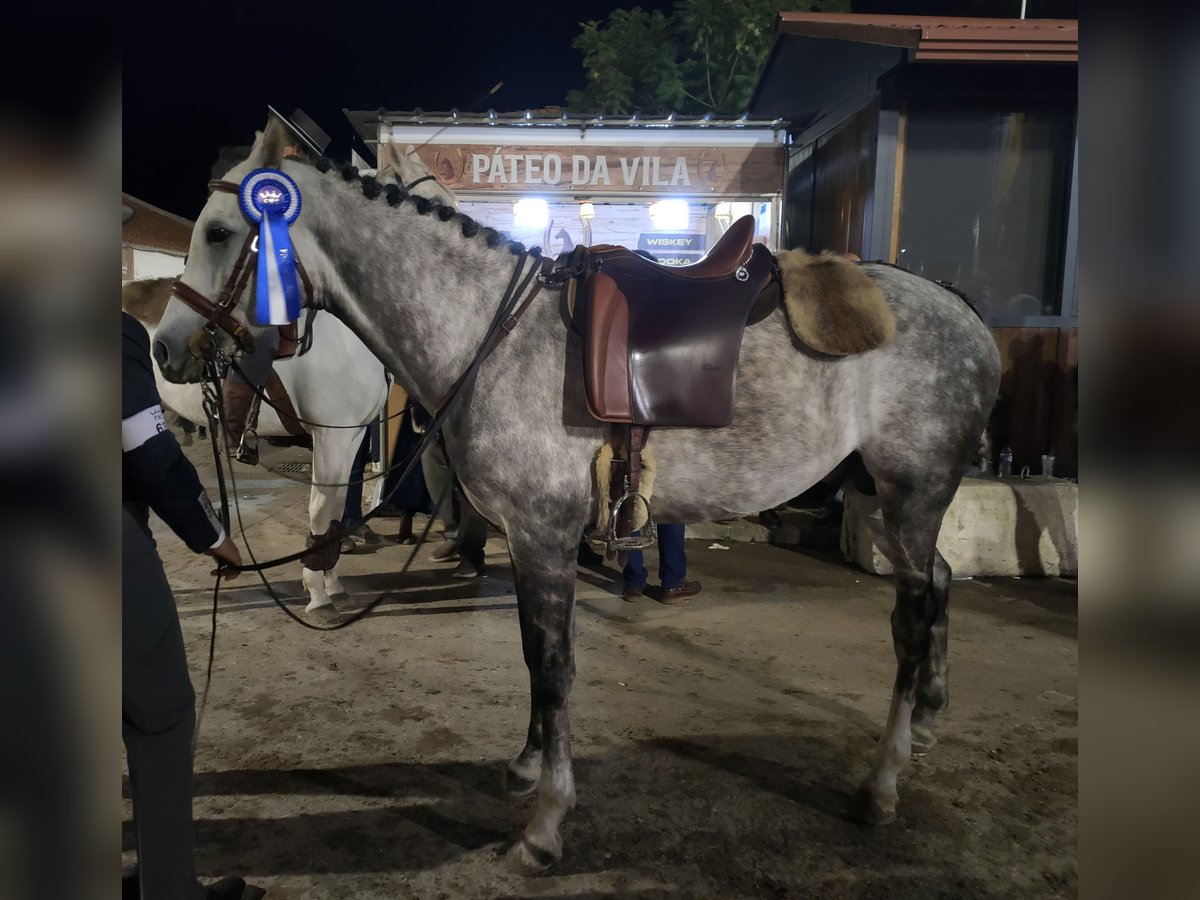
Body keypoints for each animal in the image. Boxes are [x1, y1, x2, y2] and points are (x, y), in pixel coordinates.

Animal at [157, 116, 1003, 868]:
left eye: (222, 233)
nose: (166, 348)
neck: (490, 334)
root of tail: (962, 310)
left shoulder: (542, 533)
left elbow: (553, 662)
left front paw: (544, 824)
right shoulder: (530, 538)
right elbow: (535, 658)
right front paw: (529, 767)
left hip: (912, 494)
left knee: (914, 619)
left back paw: (882, 783)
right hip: (894, 502)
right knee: (937, 587)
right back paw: (928, 722)